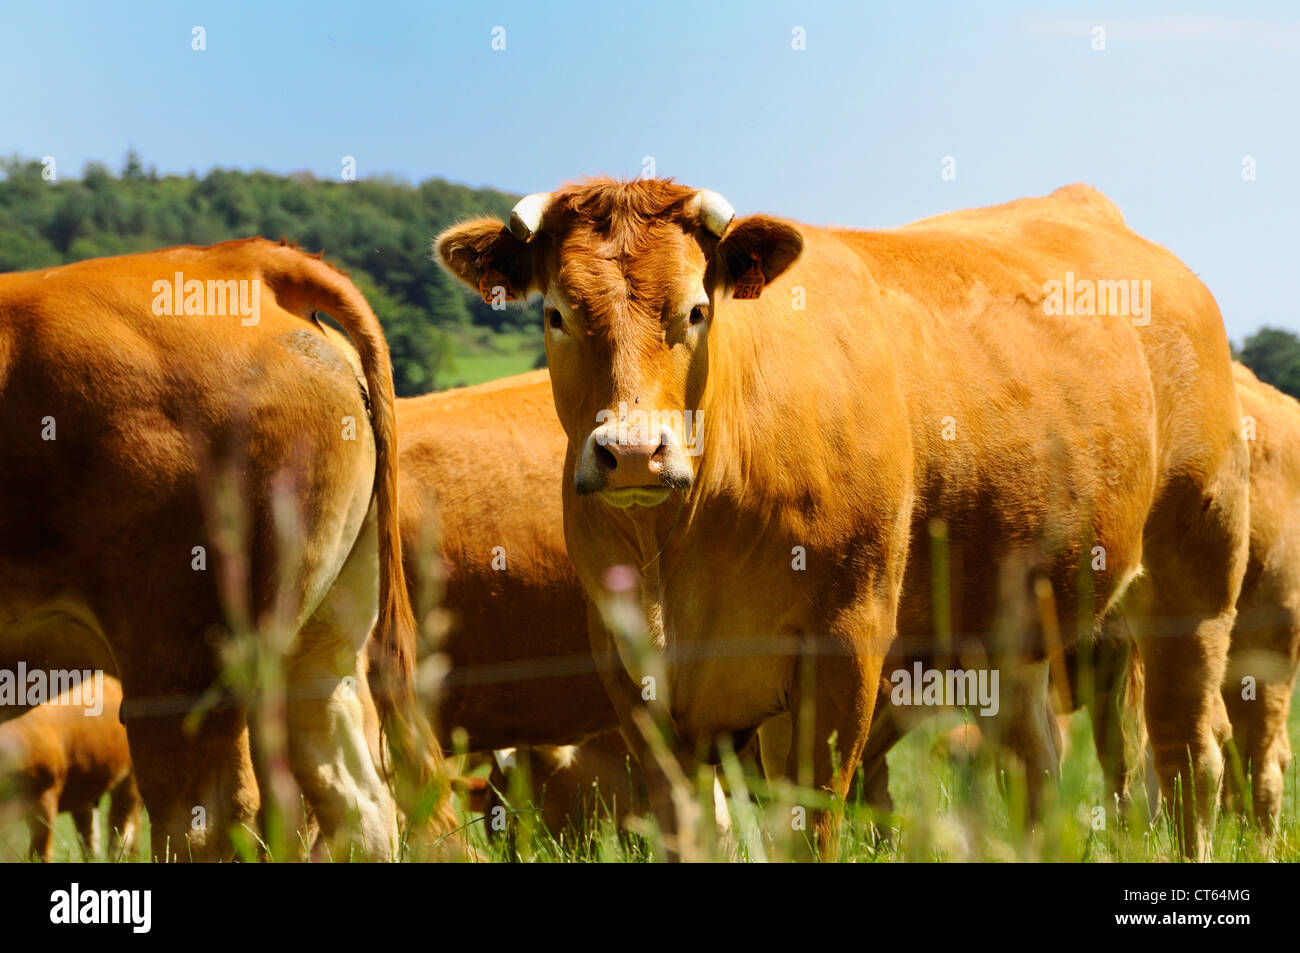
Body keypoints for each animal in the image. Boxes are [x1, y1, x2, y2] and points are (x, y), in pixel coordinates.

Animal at [439, 178, 1248, 852]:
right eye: (556, 314)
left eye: (696, 309)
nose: (634, 453)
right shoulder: (632, 676)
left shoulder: (842, 649)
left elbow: (811, 826)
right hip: (1011, 625)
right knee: (1036, 771)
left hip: (1195, 572)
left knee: (1188, 755)